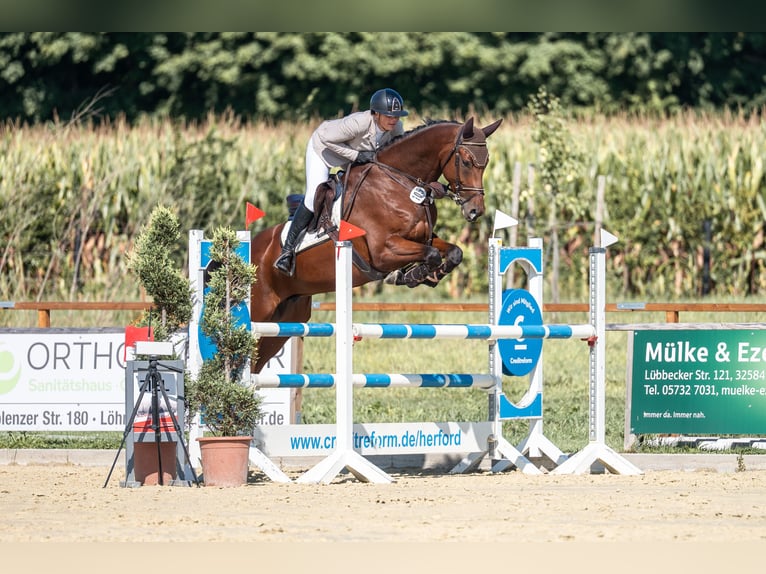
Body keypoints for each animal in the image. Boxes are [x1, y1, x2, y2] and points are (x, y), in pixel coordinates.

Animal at [250, 116, 502, 373]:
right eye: (467, 161)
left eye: (487, 162)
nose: (475, 211)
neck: (401, 184)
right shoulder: (382, 251)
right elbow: (430, 254)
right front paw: (410, 276)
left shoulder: (424, 238)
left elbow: (454, 252)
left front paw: (427, 276)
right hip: (260, 312)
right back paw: (284, 260)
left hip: (286, 321)